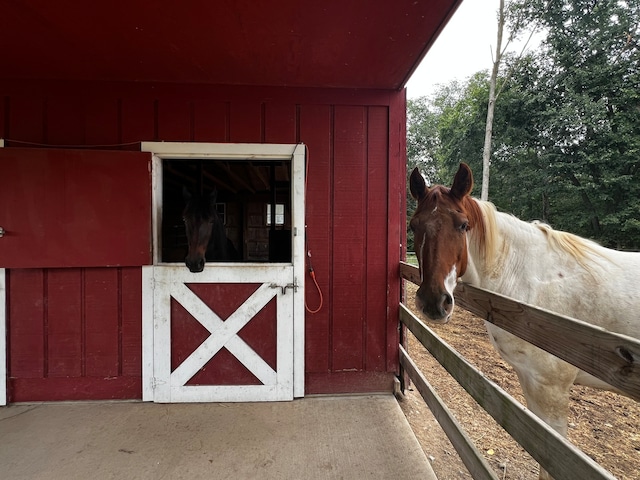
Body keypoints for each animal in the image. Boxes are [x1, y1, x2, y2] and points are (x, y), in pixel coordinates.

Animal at [410, 163, 640, 478]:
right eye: (414, 226)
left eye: (463, 225)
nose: (433, 302)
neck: (529, 280)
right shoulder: (530, 380)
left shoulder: (552, 391)